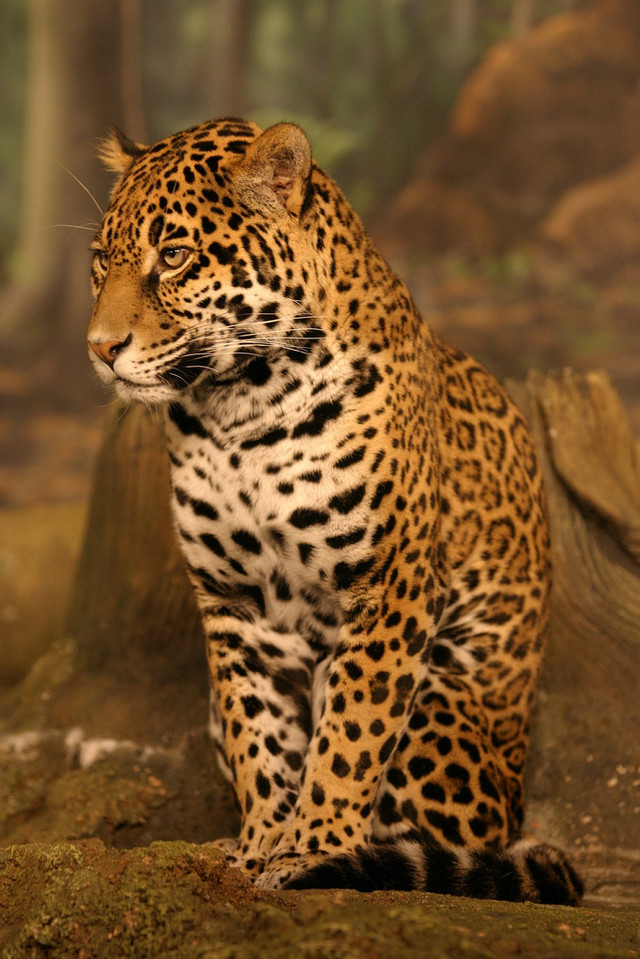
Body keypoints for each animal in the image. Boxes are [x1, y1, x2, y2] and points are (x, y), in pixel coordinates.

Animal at [87, 117, 582, 904]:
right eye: (101, 263)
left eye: (174, 256)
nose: (99, 349)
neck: (241, 410)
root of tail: (517, 796)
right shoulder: (232, 602)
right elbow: (257, 734)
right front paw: (260, 844)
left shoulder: (391, 587)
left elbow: (350, 734)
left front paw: (314, 847)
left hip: (442, 712)